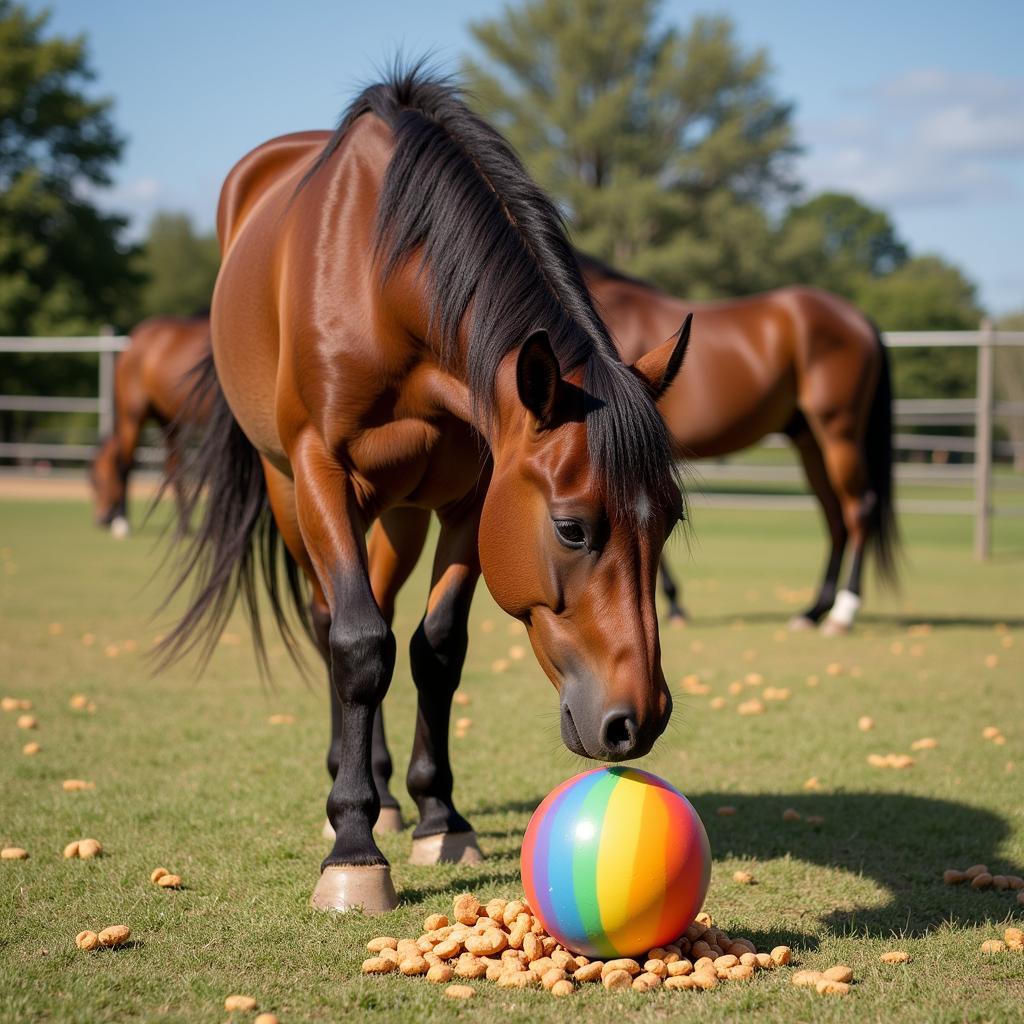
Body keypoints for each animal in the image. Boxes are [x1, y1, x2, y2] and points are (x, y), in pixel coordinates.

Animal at [91, 313, 210, 536]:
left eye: (96, 481)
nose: (101, 520)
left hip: (148, 418)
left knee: (135, 464)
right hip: (144, 415)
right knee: (159, 466)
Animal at [581, 253, 901, 630]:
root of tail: (860, 319)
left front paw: (674, 606)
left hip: (839, 434)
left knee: (859, 510)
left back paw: (843, 612)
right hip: (811, 444)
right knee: (836, 519)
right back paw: (812, 612)